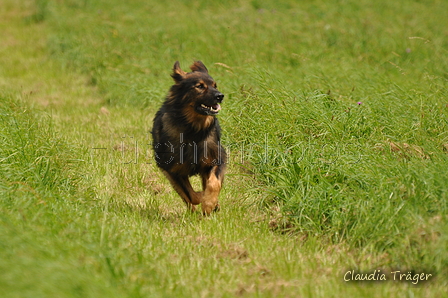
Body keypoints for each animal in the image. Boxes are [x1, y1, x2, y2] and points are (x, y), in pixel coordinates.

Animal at [152, 61, 228, 214]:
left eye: (215, 85)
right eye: (199, 86)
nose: (220, 96)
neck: (193, 129)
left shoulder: (217, 158)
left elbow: (213, 183)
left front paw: (209, 203)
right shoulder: (171, 169)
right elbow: (191, 196)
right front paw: (203, 198)